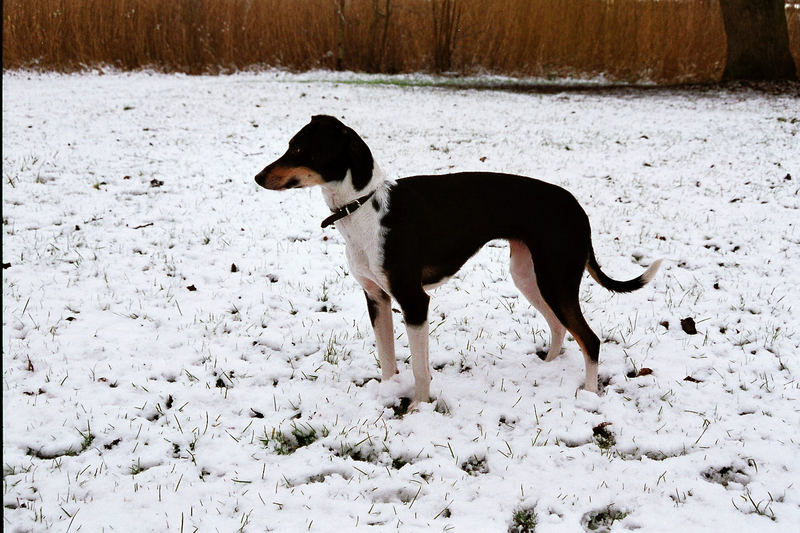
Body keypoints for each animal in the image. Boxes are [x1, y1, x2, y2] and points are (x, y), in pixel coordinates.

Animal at [256, 115, 664, 408]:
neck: (365, 208)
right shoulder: (377, 298)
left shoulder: (414, 301)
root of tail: (577, 208)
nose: (258, 177)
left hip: (555, 279)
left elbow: (420, 368)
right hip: (529, 275)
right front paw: (388, 394)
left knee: (589, 339)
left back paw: (590, 398)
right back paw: (546, 370)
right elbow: (387, 360)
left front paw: (417, 408)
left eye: (299, 149)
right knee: (561, 328)